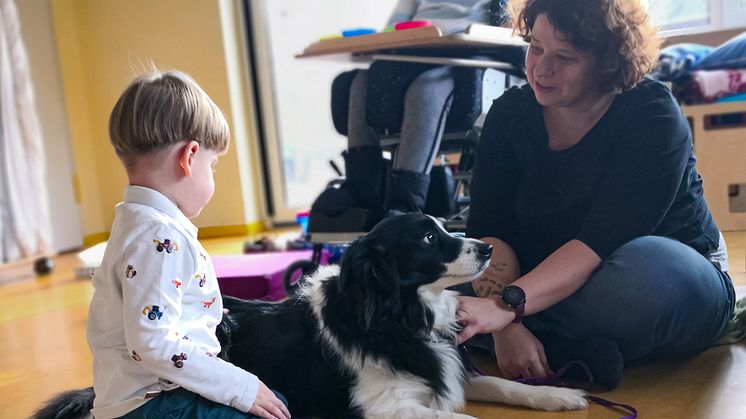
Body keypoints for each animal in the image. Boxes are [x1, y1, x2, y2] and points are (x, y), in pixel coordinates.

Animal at [33, 215, 580, 418]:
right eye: (427, 238)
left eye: (446, 225)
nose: (487, 248)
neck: (395, 314)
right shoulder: (382, 407)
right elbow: (459, 416)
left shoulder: (441, 363)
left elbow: (501, 384)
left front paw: (559, 395)